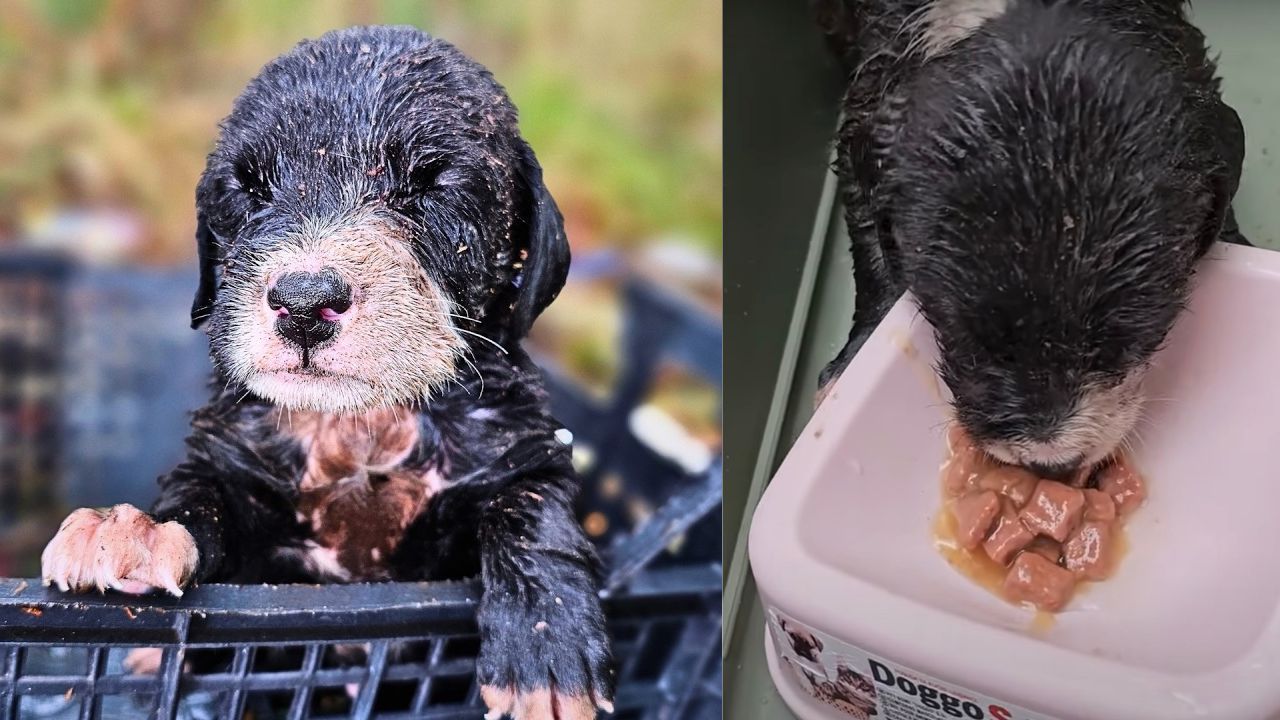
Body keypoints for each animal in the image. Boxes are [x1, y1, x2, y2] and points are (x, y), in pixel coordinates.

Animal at [42, 25, 611, 712]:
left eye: (432, 185)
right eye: (249, 187)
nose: (305, 303)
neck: (359, 425)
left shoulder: (521, 448)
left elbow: (529, 507)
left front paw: (546, 650)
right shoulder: (238, 472)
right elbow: (199, 496)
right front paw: (137, 530)